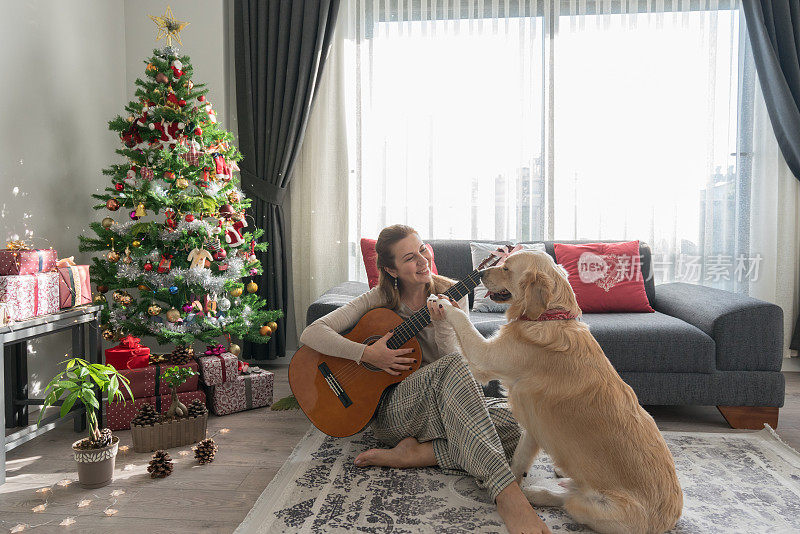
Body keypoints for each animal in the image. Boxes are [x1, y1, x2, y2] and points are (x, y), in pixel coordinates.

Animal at [428, 252, 684, 534]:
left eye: (506, 268)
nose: (480, 274)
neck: (548, 317)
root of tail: (668, 520)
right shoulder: (532, 428)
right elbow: (518, 460)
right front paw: (513, 482)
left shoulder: (484, 357)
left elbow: (463, 321)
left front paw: (444, 302)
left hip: (596, 507)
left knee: (568, 500)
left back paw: (539, 493)